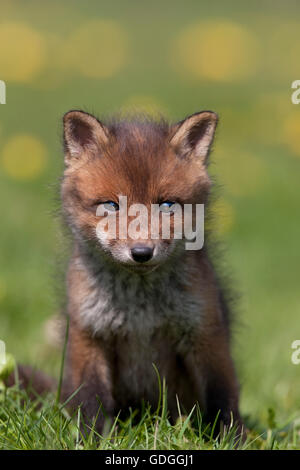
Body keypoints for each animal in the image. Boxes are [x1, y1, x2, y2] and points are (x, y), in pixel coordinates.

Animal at [6, 109, 244, 436]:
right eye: (111, 205)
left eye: (167, 205)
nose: (142, 253)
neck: (140, 311)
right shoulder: (89, 335)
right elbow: (90, 402)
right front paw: (92, 439)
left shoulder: (205, 334)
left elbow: (223, 398)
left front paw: (234, 439)